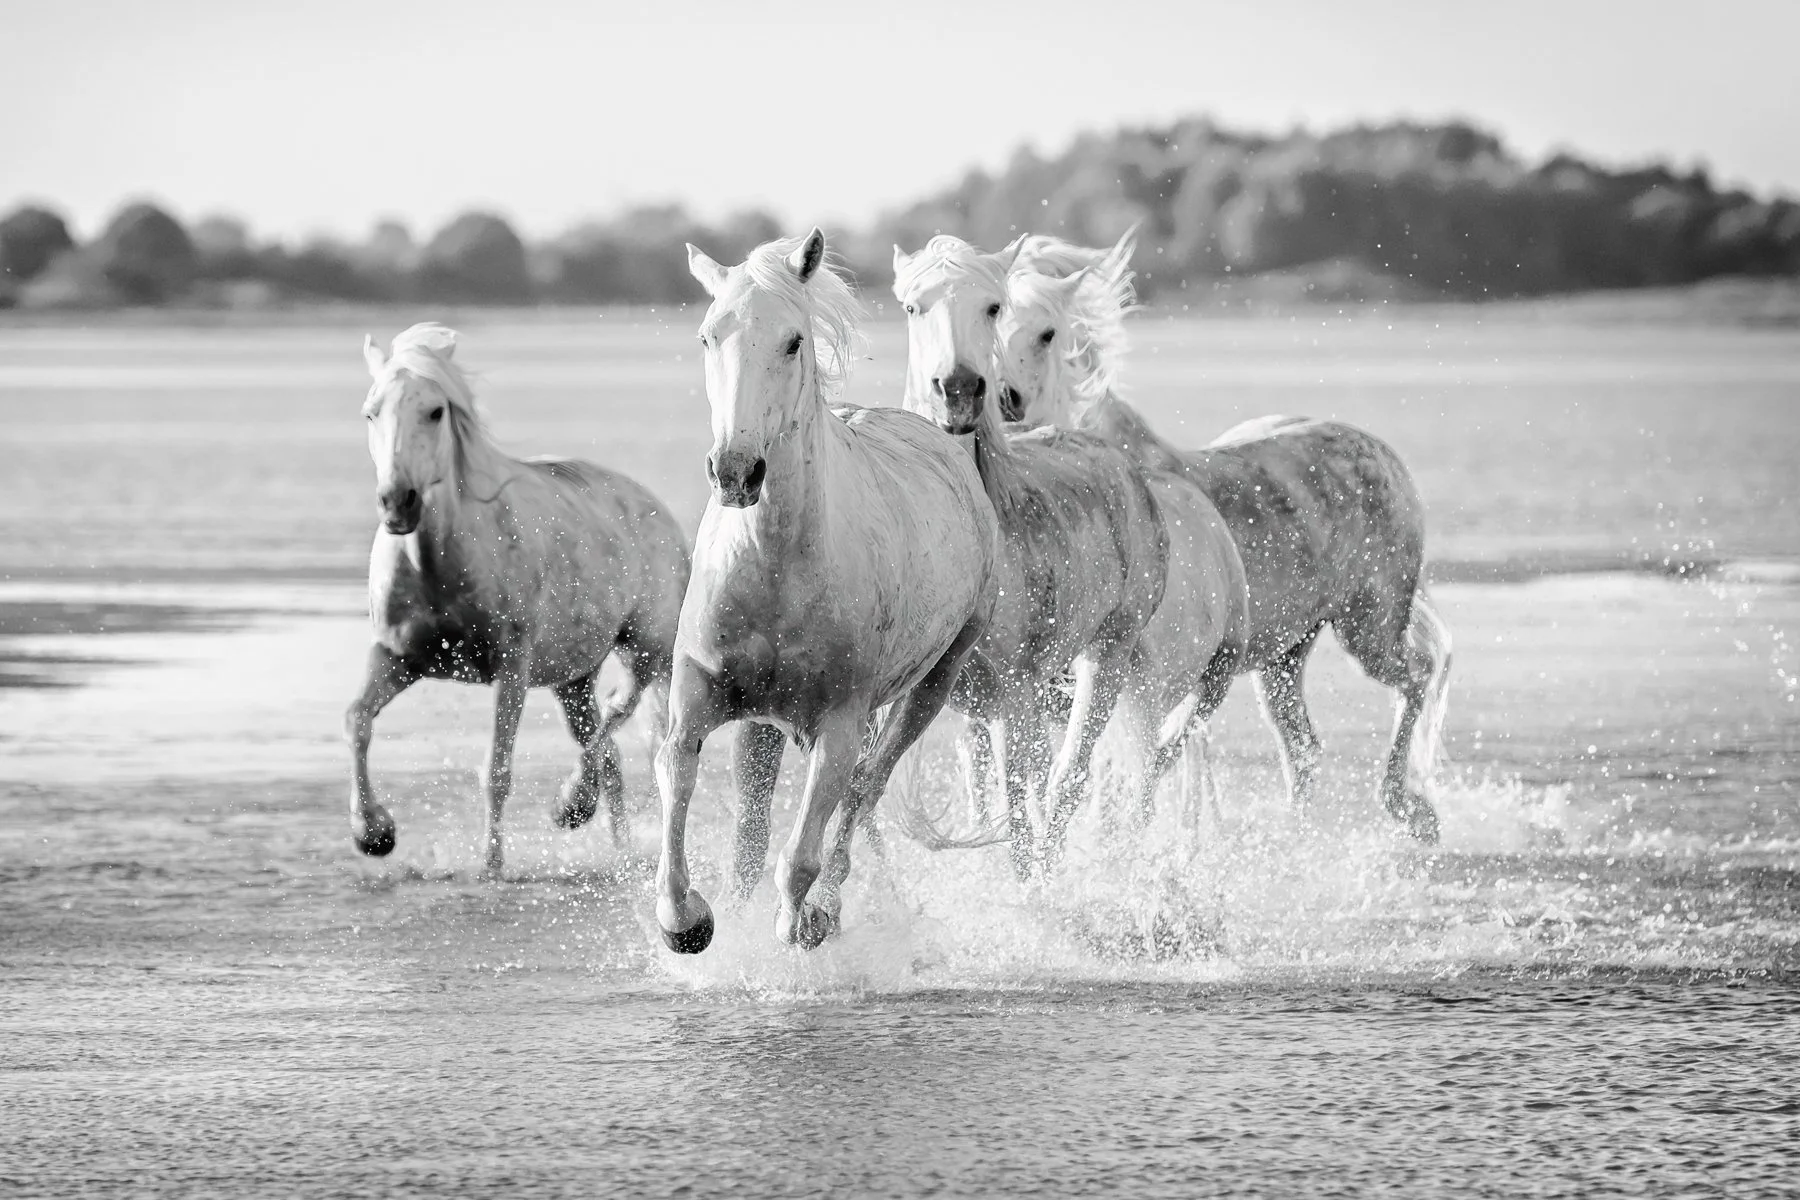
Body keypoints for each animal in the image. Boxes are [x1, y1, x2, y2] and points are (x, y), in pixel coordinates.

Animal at [347, 322, 689, 875]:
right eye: (371, 411)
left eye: (435, 411)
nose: (398, 503)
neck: (438, 567)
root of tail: (656, 509)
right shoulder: (398, 658)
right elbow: (356, 719)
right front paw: (374, 833)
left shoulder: (512, 665)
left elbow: (496, 771)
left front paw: (492, 868)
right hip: (573, 679)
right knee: (609, 754)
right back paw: (613, 844)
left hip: (645, 650)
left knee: (620, 711)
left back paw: (572, 805)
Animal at [654, 229, 998, 954]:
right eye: (708, 335)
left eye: (792, 341)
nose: (735, 472)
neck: (775, 566)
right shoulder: (698, 695)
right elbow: (677, 775)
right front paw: (686, 920)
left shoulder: (840, 721)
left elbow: (803, 852)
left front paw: (803, 920)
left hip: (932, 685)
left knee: (865, 789)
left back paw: (828, 907)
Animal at [891, 236, 1169, 875]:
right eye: (913, 307)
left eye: (991, 306)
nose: (960, 390)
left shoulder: (1012, 695)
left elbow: (1022, 811)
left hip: (1106, 657)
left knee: (1069, 780)